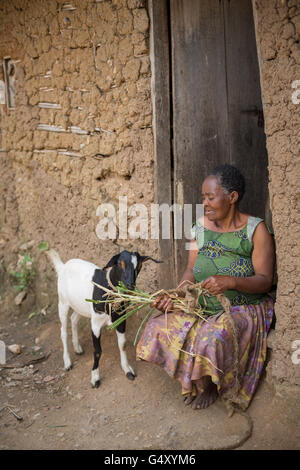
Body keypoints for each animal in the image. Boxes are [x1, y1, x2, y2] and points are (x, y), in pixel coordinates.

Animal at [45, 248, 161, 388]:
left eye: (139, 266)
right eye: (120, 263)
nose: (130, 285)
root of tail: (63, 266)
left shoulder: (121, 320)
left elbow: (122, 344)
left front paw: (127, 370)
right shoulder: (95, 324)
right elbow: (98, 351)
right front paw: (95, 378)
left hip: (81, 306)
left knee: (74, 319)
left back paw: (77, 348)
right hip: (63, 302)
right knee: (63, 331)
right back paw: (67, 362)